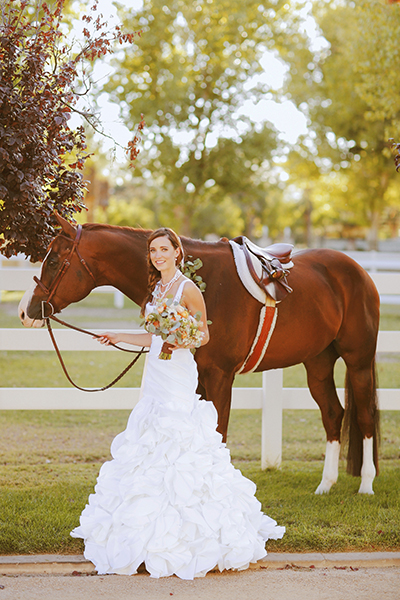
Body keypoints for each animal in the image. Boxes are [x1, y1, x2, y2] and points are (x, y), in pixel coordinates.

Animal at [18, 214, 380, 492]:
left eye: (53, 260)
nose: (25, 311)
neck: (205, 281)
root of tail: (358, 271)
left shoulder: (220, 376)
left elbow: (219, 432)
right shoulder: (201, 378)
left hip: (358, 361)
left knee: (365, 415)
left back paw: (366, 485)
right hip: (317, 362)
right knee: (333, 413)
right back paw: (325, 485)